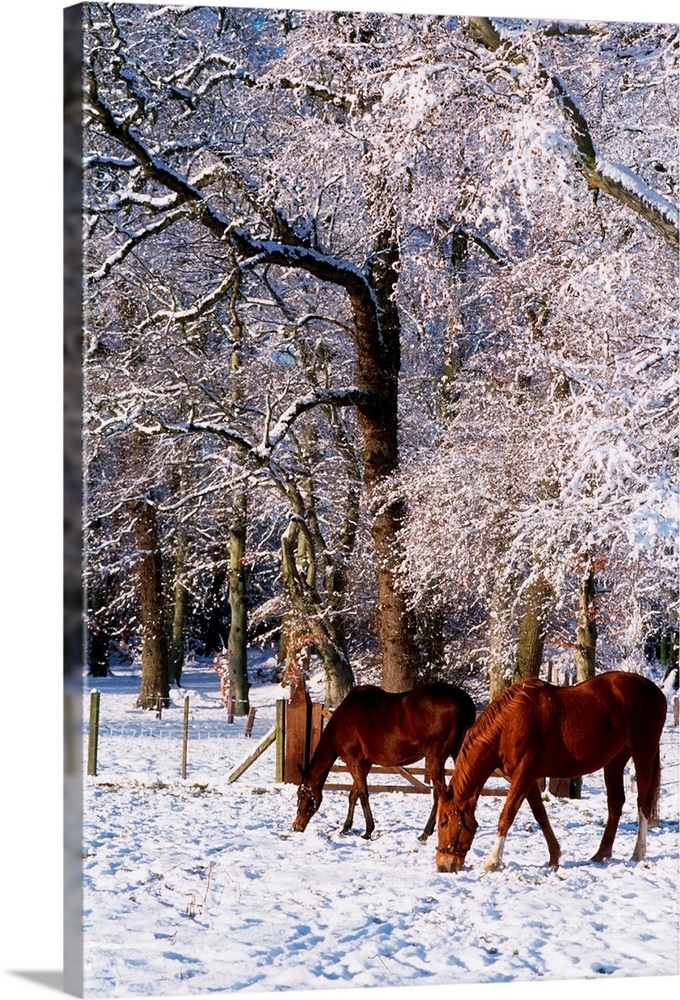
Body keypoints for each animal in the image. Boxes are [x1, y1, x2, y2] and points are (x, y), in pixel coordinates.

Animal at [293, 682, 476, 841]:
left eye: (301, 795)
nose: (296, 826)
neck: (342, 722)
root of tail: (462, 702)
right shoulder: (364, 763)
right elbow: (354, 794)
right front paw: (346, 827)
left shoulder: (353, 760)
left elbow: (363, 794)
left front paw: (368, 831)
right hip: (458, 753)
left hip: (435, 757)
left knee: (439, 793)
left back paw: (426, 832)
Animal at [433, 671, 667, 873]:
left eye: (443, 822)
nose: (443, 865)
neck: (508, 725)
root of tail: (654, 690)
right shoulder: (525, 778)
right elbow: (540, 814)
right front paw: (554, 856)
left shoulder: (524, 774)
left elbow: (507, 814)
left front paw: (493, 861)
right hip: (615, 760)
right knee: (616, 803)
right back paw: (601, 853)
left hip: (643, 753)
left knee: (643, 802)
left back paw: (637, 853)